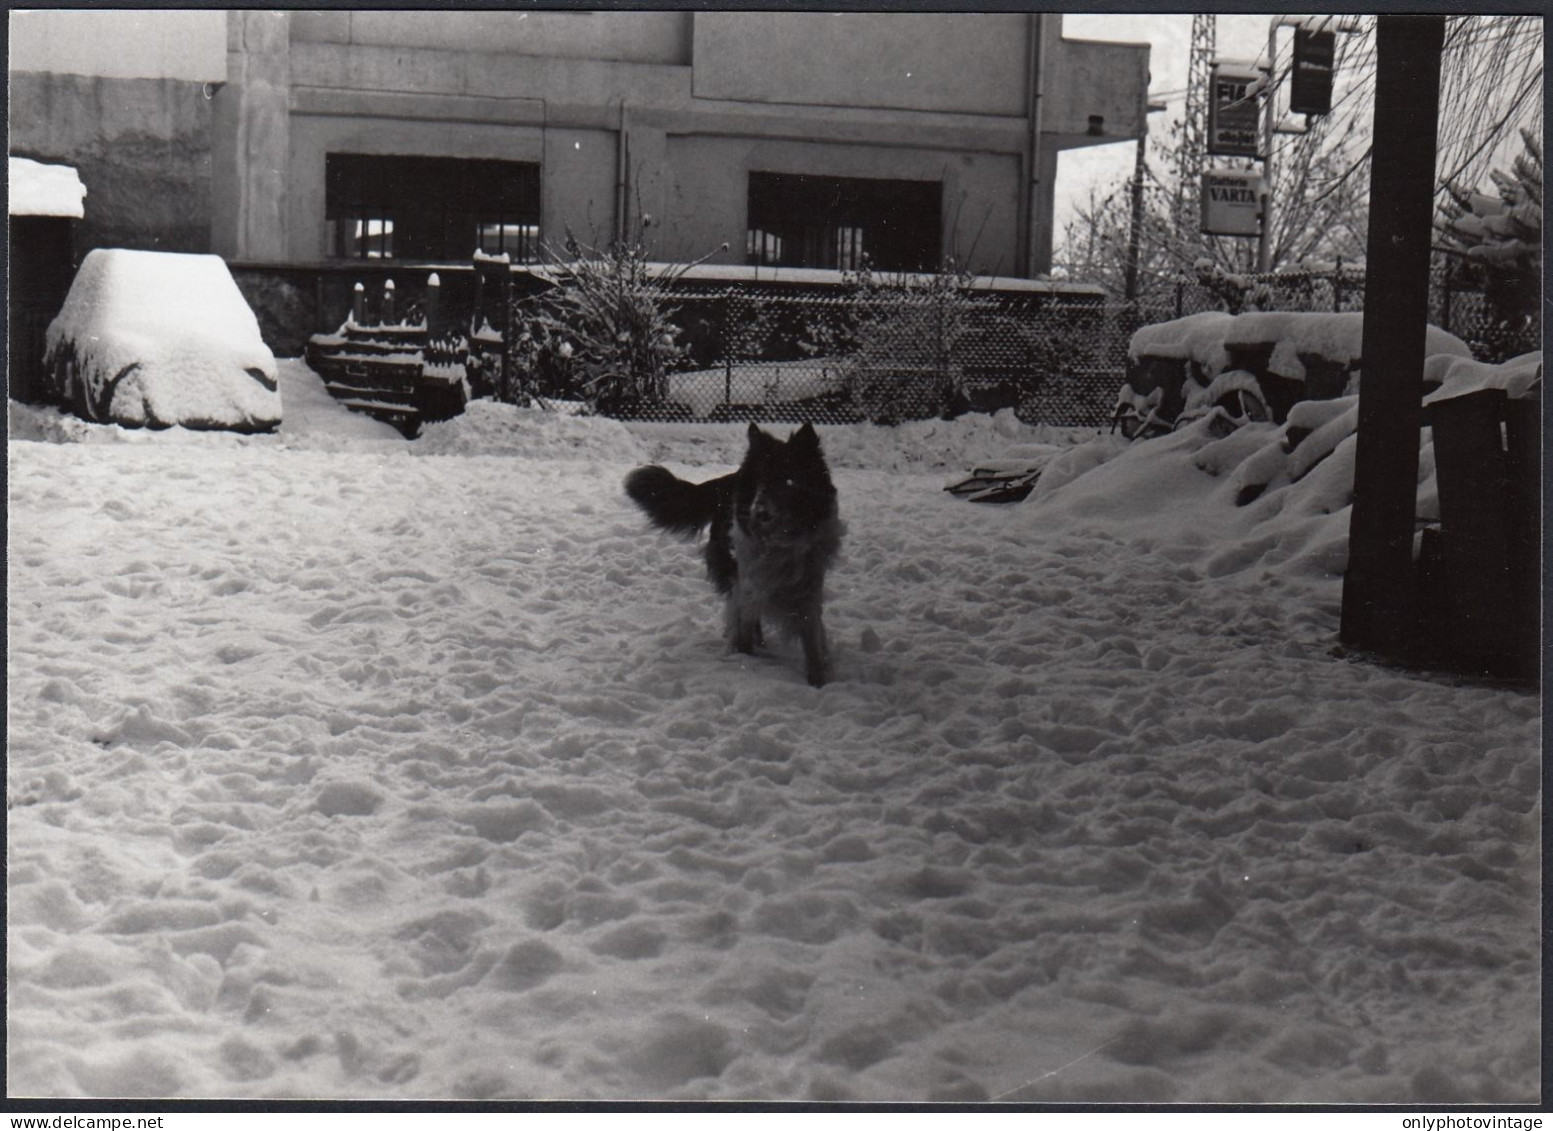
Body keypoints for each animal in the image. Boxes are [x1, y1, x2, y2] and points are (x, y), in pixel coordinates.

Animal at [624, 422, 844, 689]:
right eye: (759, 479)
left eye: (788, 480)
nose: (759, 513)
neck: (778, 541)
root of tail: (727, 479)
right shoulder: (746, 583)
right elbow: (744, 627)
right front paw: (745, 660)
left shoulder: (808, 588)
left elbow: (812, 640)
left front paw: (818, 682)